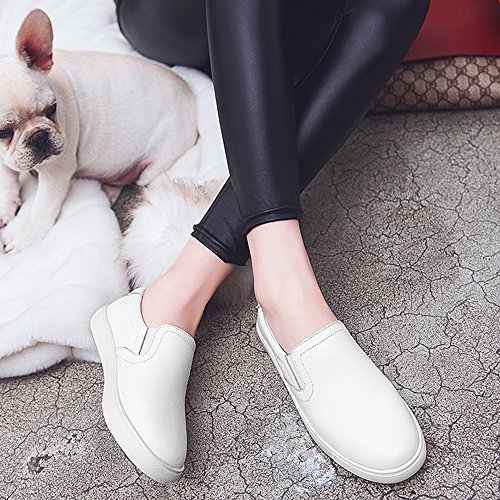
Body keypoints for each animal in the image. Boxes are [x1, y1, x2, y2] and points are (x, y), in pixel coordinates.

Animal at [0, 8, 198, 253]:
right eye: (3, 132)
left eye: (52, 108)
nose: (38, 136)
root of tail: (191, 97)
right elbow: (7, 180)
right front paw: (6, 207)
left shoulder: (56, 172)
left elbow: (40, 211)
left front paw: (24, 241)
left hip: (155, 166)